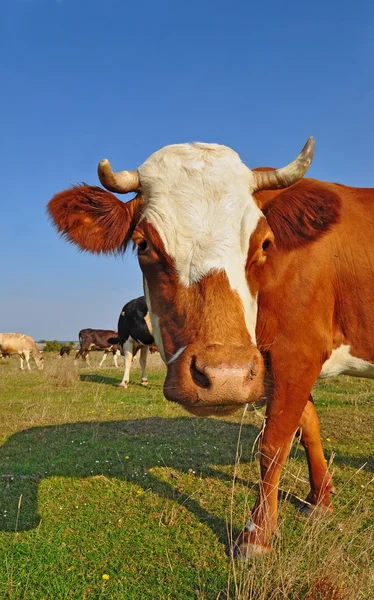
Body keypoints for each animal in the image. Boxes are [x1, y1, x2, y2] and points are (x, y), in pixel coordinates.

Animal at [48, 137, 374, 556]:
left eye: (265, 243)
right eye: (143, 244)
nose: (224, 376)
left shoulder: (297, 354)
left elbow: (273, 443)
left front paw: (256, 534)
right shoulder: (274, 362)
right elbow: (308, 429)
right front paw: (320, 501)